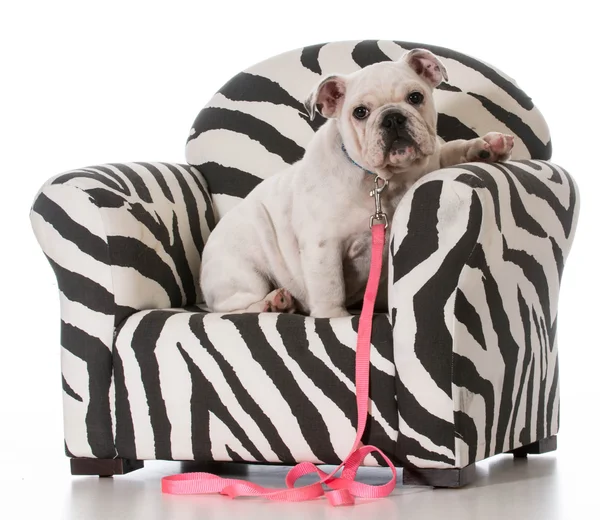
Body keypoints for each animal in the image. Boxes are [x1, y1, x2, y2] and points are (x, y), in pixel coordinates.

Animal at [200, 49, 510, 316]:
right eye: (360, 112)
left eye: (415, 97)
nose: (392, 117)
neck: (384, 179)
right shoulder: (323, 244)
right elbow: (330, 286)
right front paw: (333, 316)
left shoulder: (432, 158)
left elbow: (451, 151)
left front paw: (485, 147)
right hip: (243, 272)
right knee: (234, 307)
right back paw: (272, 303)